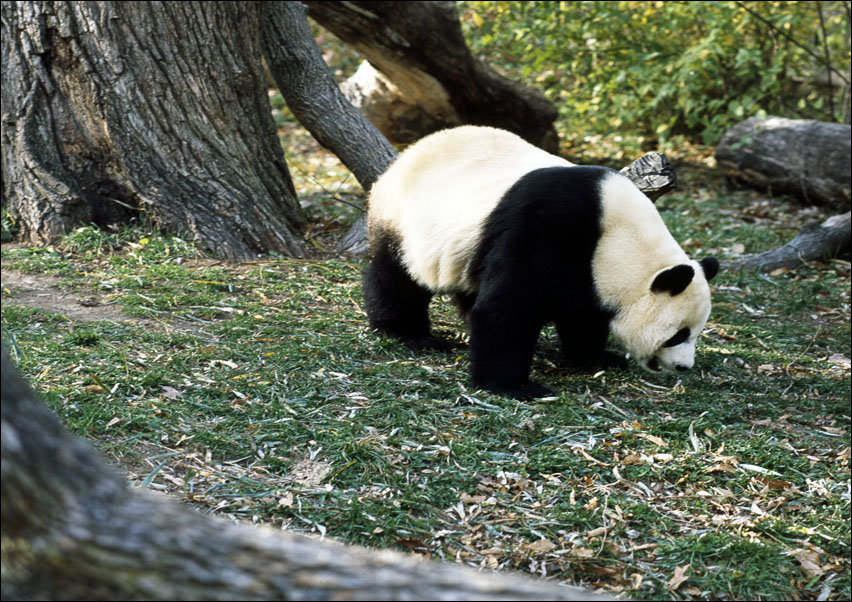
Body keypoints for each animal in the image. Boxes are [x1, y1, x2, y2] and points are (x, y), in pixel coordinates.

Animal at [363, 125, 719, 399]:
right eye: (679, 334)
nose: (683, 366)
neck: (619, 237)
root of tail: (407, 154)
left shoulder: (589, 269)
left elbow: (583, 316)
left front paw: (597, 357)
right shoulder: (546, 228)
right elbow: (507, 308)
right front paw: (514, 386)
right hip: (404, 220)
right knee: (397, 276)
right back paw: (410, 333)